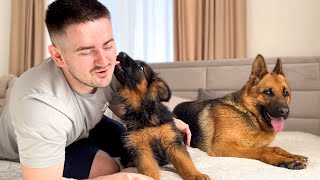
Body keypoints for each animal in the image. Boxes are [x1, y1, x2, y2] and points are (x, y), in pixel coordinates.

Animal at [113, 52, 210, 180]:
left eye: (141, 67)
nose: (120, 53)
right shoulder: (142, 148)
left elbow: (185, 162)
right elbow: (149, 169)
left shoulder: (172, 143)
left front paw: (196, 175)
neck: (144, 111)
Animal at [174, 54, 308, 170]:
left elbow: (276, 148)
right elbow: (263, 151)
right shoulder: (223, 146)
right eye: (268, 92)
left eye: (286, 93)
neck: (248, 114)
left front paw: (293, 156)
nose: (285, 111)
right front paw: (285, 161)